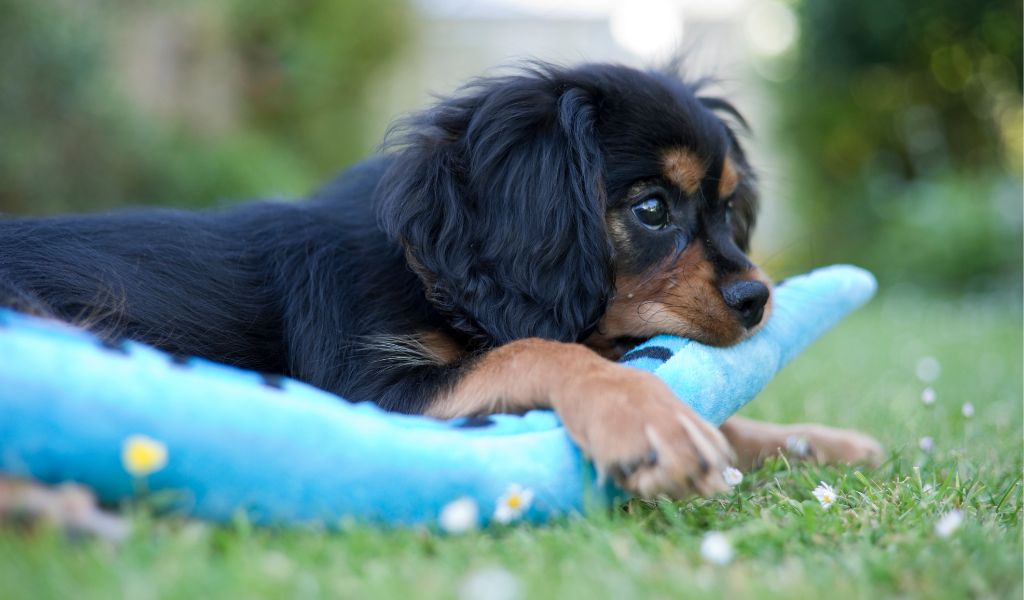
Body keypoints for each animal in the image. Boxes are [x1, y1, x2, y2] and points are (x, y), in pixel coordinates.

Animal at [0, 62, 880, 497]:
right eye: (653, 208)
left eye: (729, 209)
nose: (758, 300)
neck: (424, 271)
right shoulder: (369, 388)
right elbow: (539, 350)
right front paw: (646, 419)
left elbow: (726, 419)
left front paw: (824, 442)